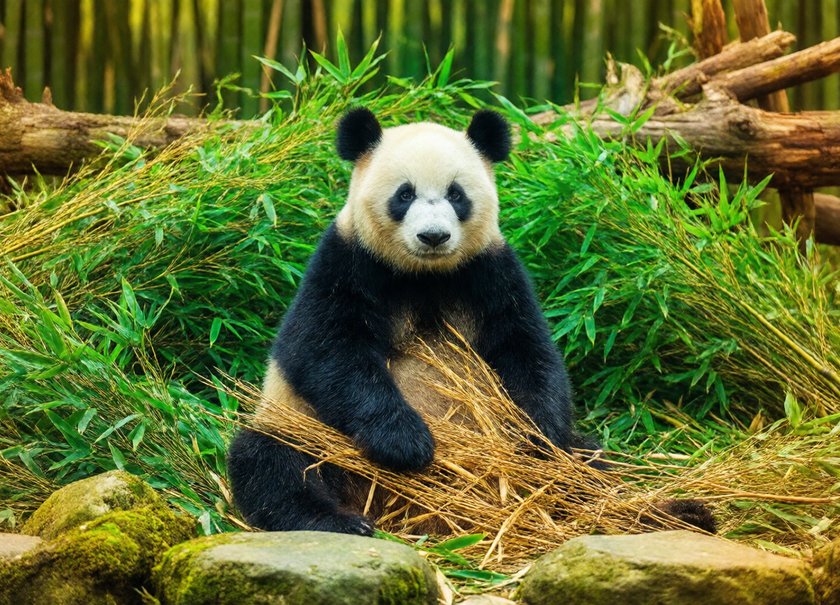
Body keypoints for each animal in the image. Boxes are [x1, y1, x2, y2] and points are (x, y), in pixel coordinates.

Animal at [226, 108, 713, 535]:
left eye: (456, 194)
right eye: (404, 194)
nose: (433, 236)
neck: (425, 275)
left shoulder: (490, 272)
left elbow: (526, 350)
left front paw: (533, 437)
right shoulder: (348, 262)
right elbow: (325, 349)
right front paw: (407, 442)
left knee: (586, 460)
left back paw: (671, 513)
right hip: (305, 428)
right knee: (272, 462)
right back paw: (341, 522)